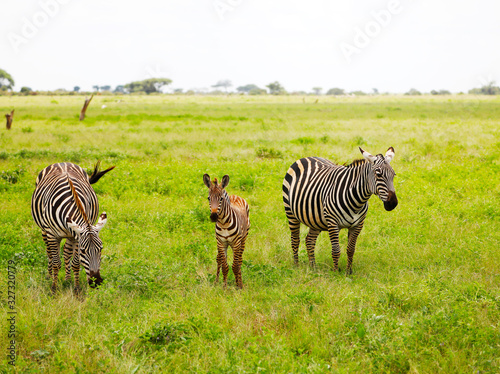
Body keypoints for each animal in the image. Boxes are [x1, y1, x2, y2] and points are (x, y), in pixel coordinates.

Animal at [32, 161, 115, 292]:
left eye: (101, 249)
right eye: (83, 251)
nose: (96, 282)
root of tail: (62, 162)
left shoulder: (76, 236)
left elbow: (76, 263)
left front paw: (76, 289)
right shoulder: (52, 234)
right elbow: (56, 263)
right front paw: (54, 288)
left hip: (70, 235)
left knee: (66, 252)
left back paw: (67, 279)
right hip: (44, 230)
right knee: (49, 253)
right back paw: (49, 276)